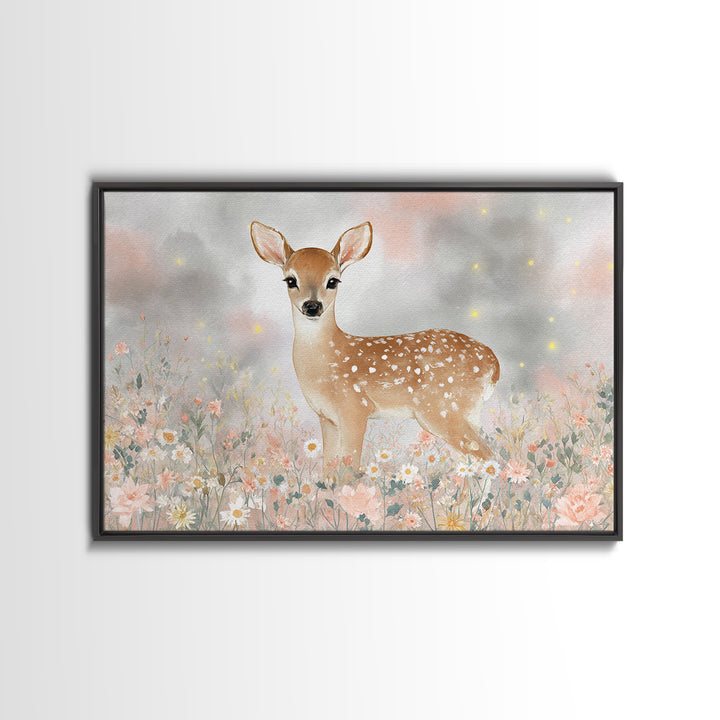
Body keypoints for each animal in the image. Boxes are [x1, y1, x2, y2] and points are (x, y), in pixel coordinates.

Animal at [250, 220, 500, 481]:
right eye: (290, 280)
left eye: (333, 281)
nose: (312, 306)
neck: (327, 359)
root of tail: (494, 364)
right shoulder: (327, 417)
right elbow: (329, 470)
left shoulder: (355, 407)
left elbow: (349, 469)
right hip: (460, 413)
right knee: (468, 462)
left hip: (441, 409)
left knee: (486, 456)